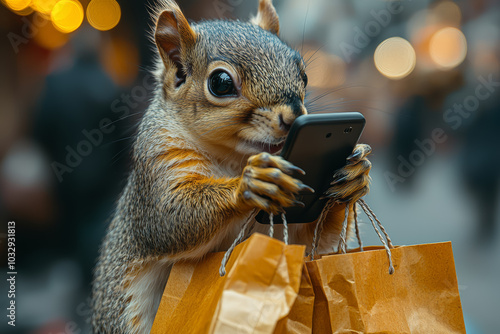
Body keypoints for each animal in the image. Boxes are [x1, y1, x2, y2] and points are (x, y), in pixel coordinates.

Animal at [91, 0, 372, 334]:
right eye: (220, 83)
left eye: (303, 74)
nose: (293, 116)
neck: (235, 159)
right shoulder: (156, 164)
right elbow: (167, 220)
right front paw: (250, 184)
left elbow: (313, 241)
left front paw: (356, 174)